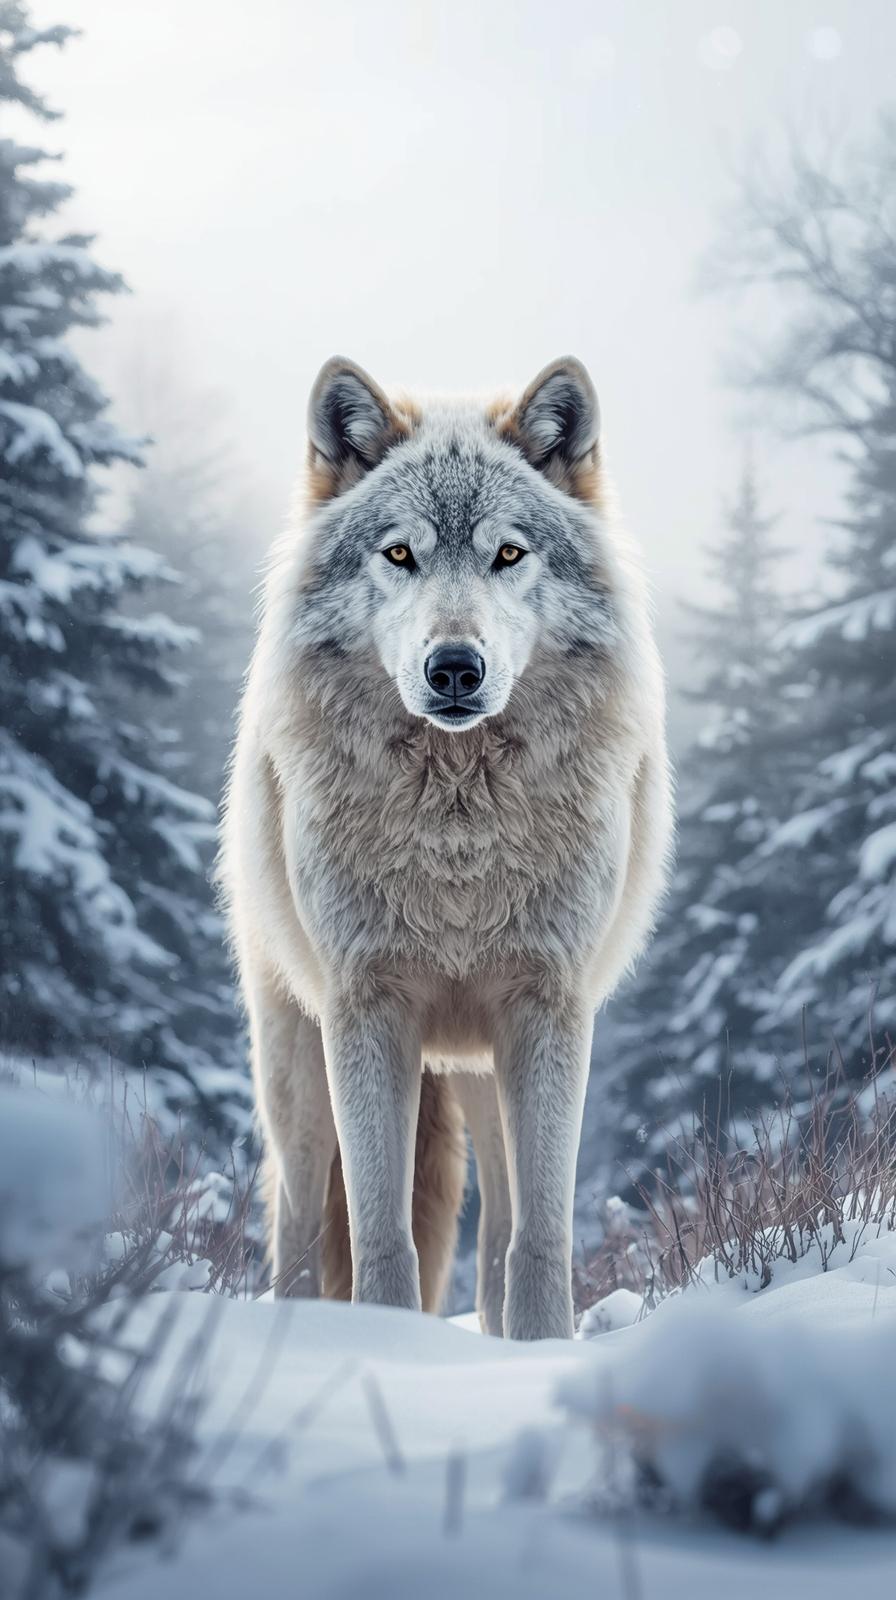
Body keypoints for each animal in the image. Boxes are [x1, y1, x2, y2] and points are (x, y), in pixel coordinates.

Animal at [220, 355, 671, 1339]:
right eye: (401, 554)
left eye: (508, 553)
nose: (455, 667)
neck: (457, 834)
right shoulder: (365, 1012)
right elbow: (381, 1234)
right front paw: (386, 1344)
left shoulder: (548, 1012)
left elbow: (540, 1234)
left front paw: (543, 1349)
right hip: (295, 1069)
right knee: (299, 1220)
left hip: (484, 1075)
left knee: (499, 1222)